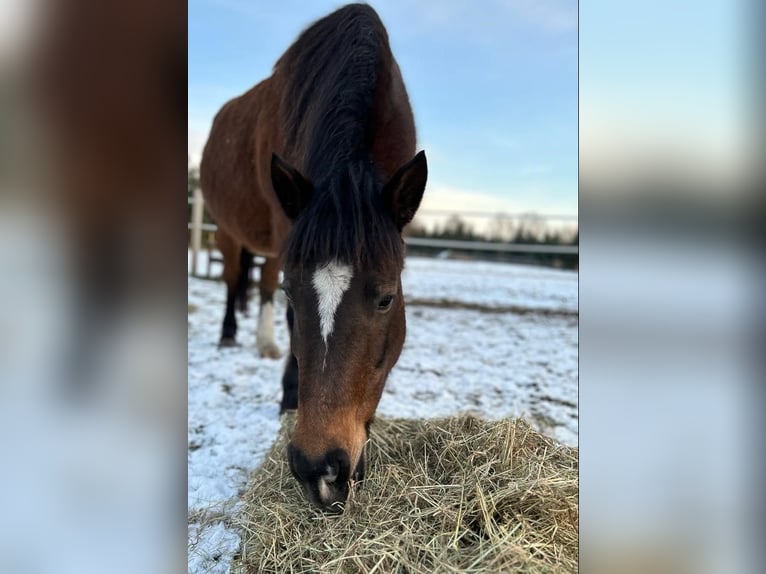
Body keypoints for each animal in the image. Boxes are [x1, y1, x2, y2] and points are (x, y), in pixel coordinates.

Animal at [200, 2, 426, 510]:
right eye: (294, 294)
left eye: (386, 298)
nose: (320, 471)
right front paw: (289, 395)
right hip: (228, 230)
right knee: (233, 280)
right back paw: (231, 334)